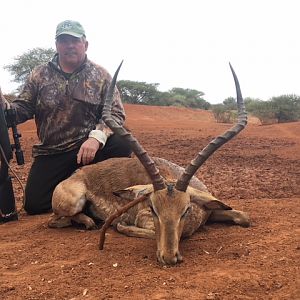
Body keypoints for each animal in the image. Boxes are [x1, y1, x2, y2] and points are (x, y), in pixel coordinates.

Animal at [50, 62, 250, 264]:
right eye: (153, 209)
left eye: (185, 210)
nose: (169, 257)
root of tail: (76, 174)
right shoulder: (143, 218)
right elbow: (146, 230)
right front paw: (120, 225)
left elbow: (244, 217)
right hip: (73, 202)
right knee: (55, 220)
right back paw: (90, 222)